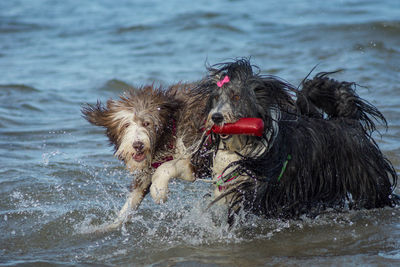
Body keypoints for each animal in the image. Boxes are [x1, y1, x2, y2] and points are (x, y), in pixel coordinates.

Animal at [81, 84, 209, 230]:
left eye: (147, 123)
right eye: (126, 125)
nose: (138, 145)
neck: (170, 132)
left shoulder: (201, 152)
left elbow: (169, 167)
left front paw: (159, 191)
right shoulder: (147, 170)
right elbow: (132, 199)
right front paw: (109, 226)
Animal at [193, 59, 396, 225]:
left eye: (236, 97)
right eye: (216, 98)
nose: (216, 117)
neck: (245, 144)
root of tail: (348, 121)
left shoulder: (260, 188)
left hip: (368, 179)